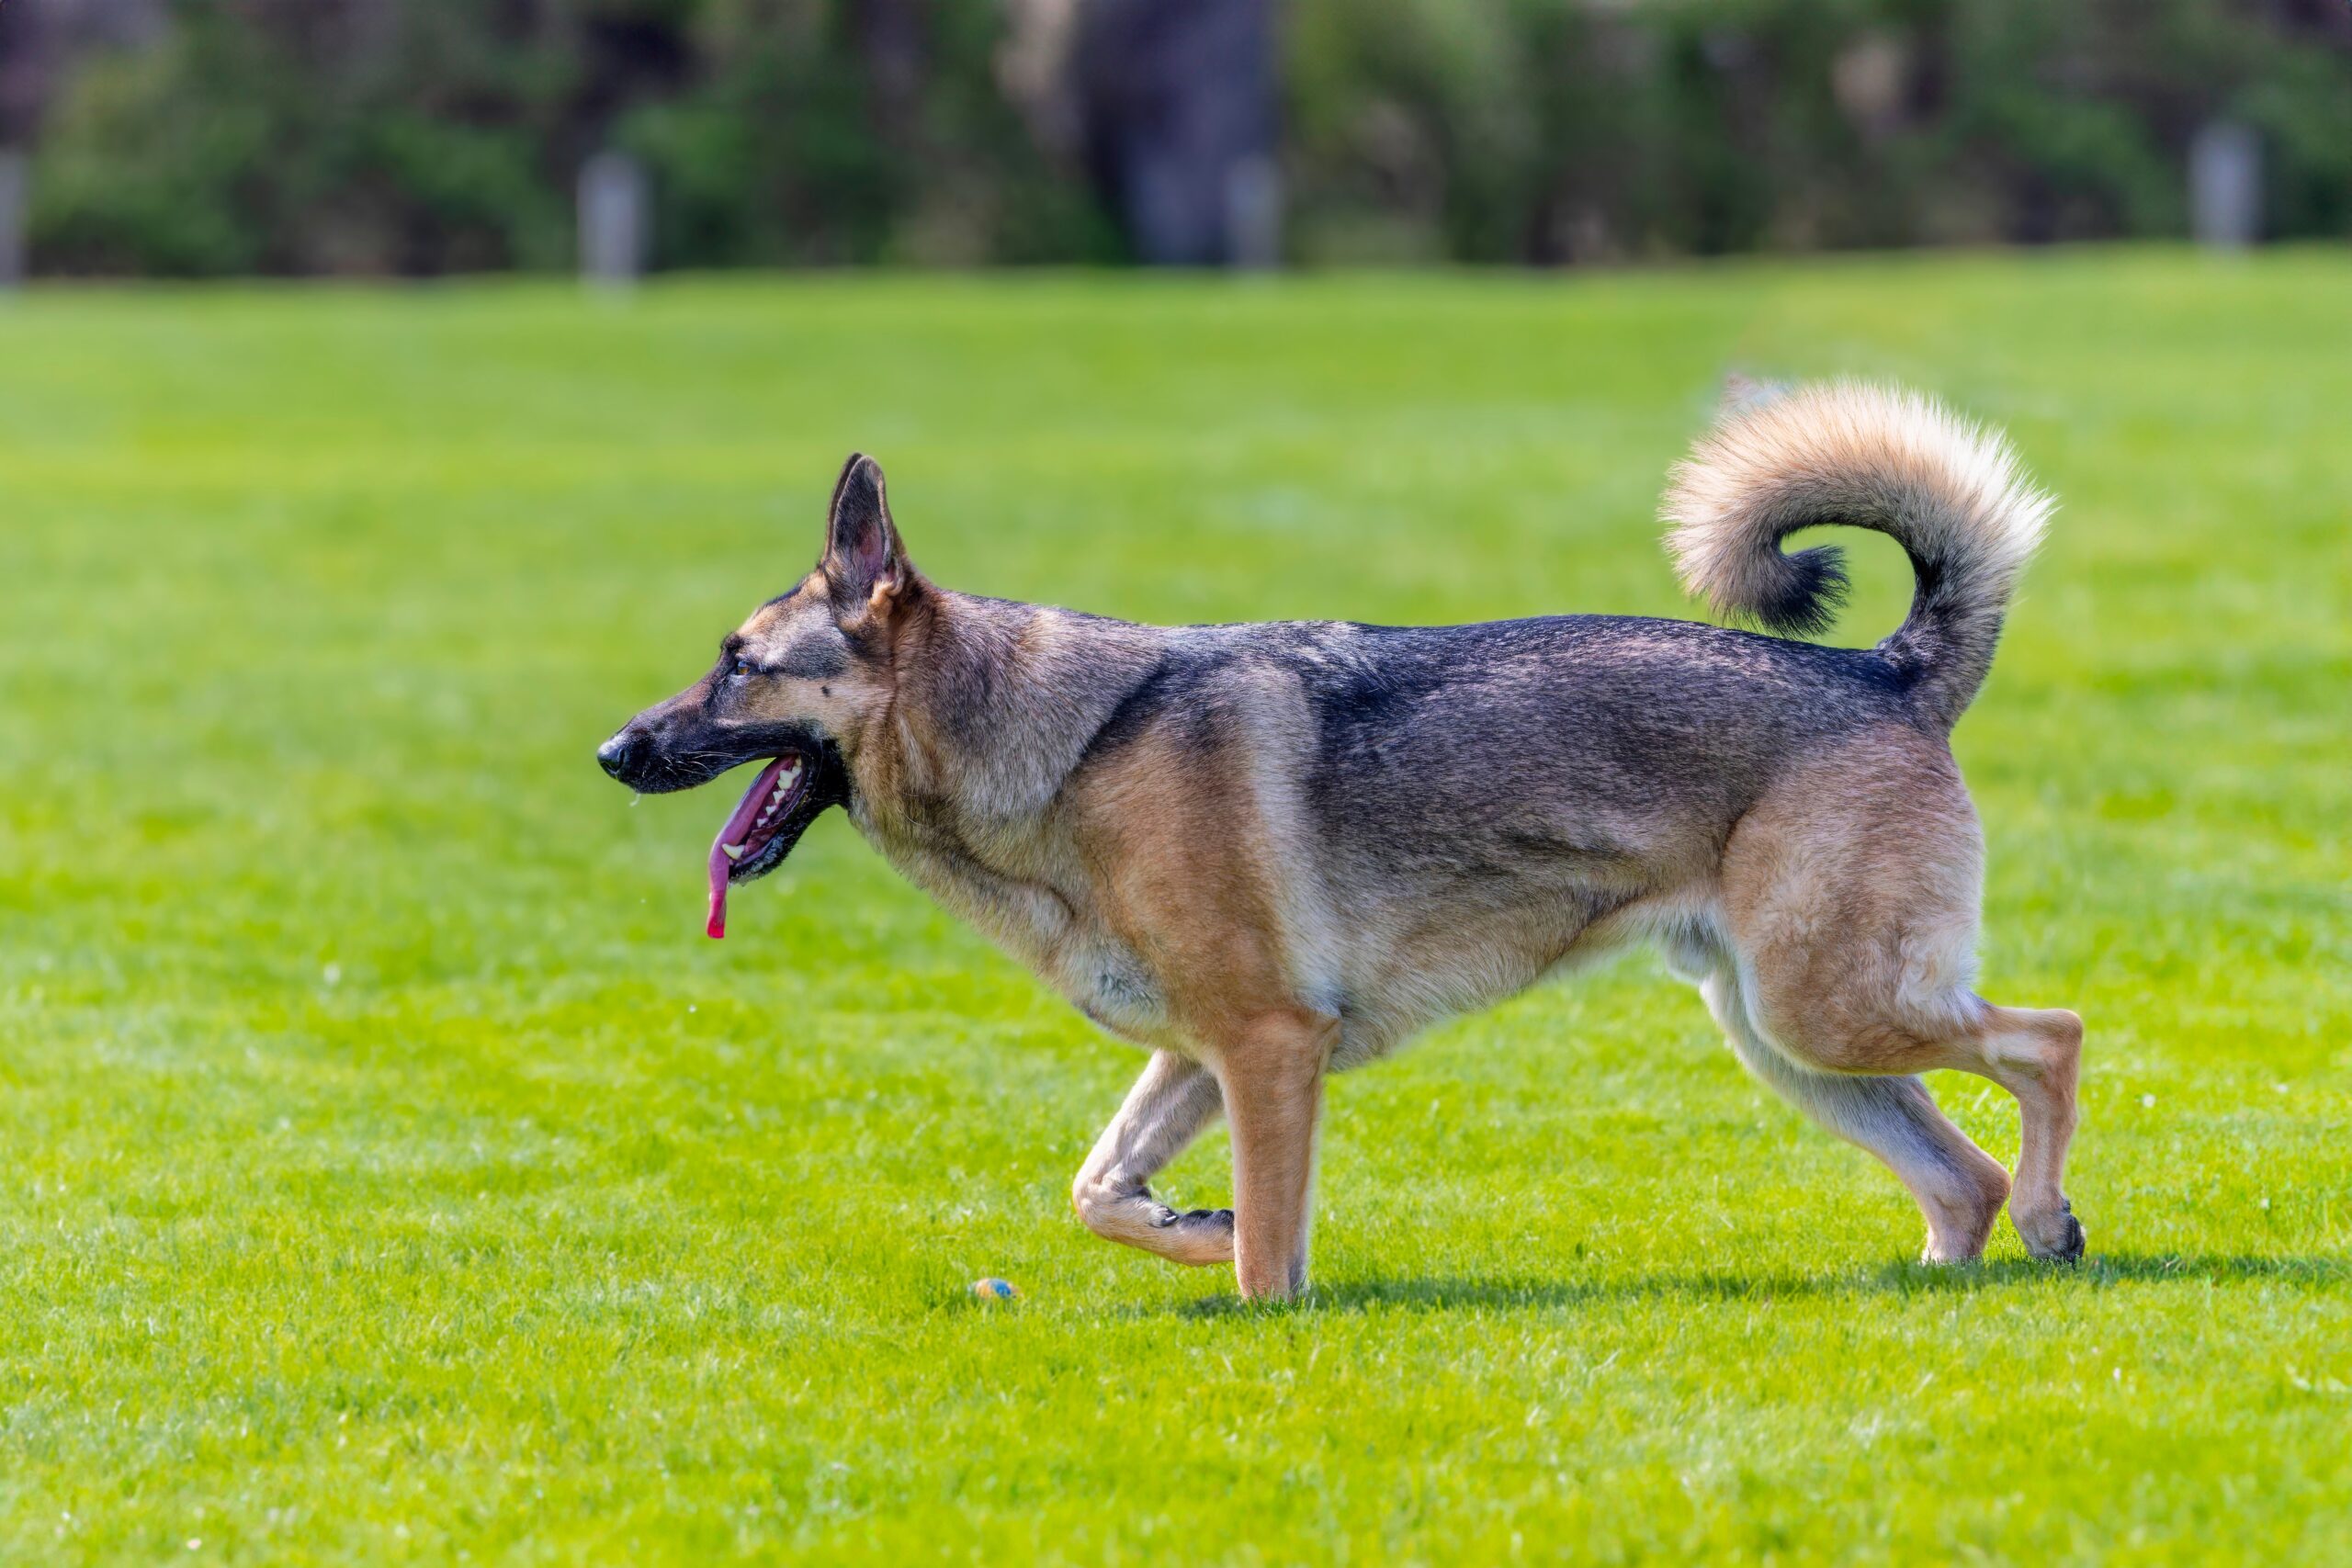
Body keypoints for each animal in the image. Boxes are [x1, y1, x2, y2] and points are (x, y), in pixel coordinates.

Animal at [602, 380, 2079, 1297]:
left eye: (737, 665)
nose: (612, 752)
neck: (1068, 746)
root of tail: (1885, 673)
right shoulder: (1205, 1051)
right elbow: (1102, 1187)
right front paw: (1189, 1227)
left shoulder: (1266, 1049)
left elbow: (1266, 1254)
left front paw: (1254, 1298)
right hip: (1786, 1033)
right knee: (1961, 1174)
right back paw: (1940, 1280)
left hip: (1826, 1005)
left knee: (2049, 1045)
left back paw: (2054, 1219)